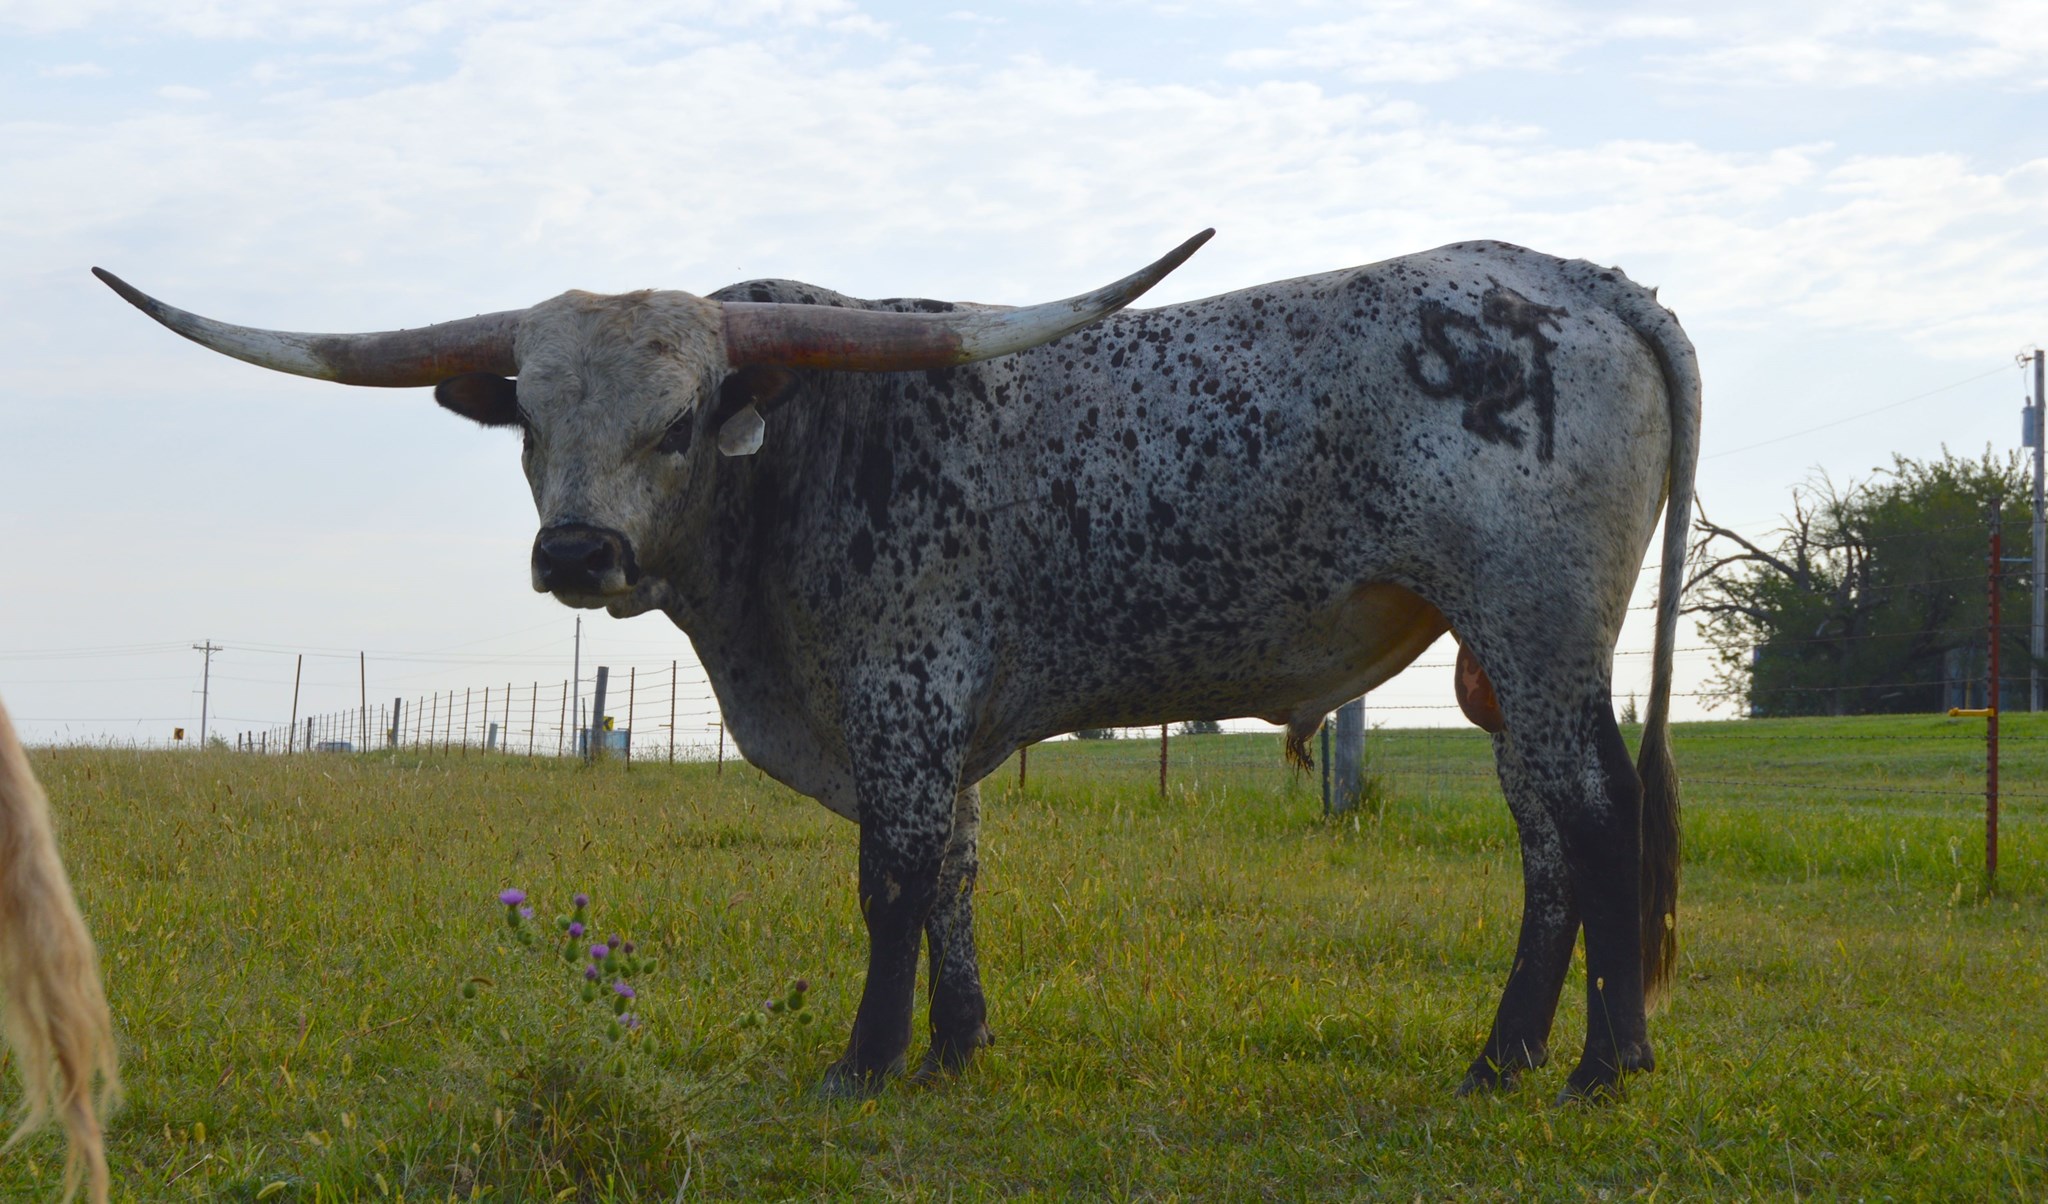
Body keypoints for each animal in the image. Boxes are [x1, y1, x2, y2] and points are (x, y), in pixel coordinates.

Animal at [95, 230, 1698, 1103]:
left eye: (683, 419)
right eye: (534, 422)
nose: (580, 554)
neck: (806, 454)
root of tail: (1580, 280)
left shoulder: (903, 690)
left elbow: (892, 878)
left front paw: (865, 1061)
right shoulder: (939, 721)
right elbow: (959, 876)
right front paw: (955, 1047)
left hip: (1535, 629)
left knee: (1596, 818)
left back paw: (1597, 1065)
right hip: (1508, 659)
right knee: (1547, 837)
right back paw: (1509, 1053)